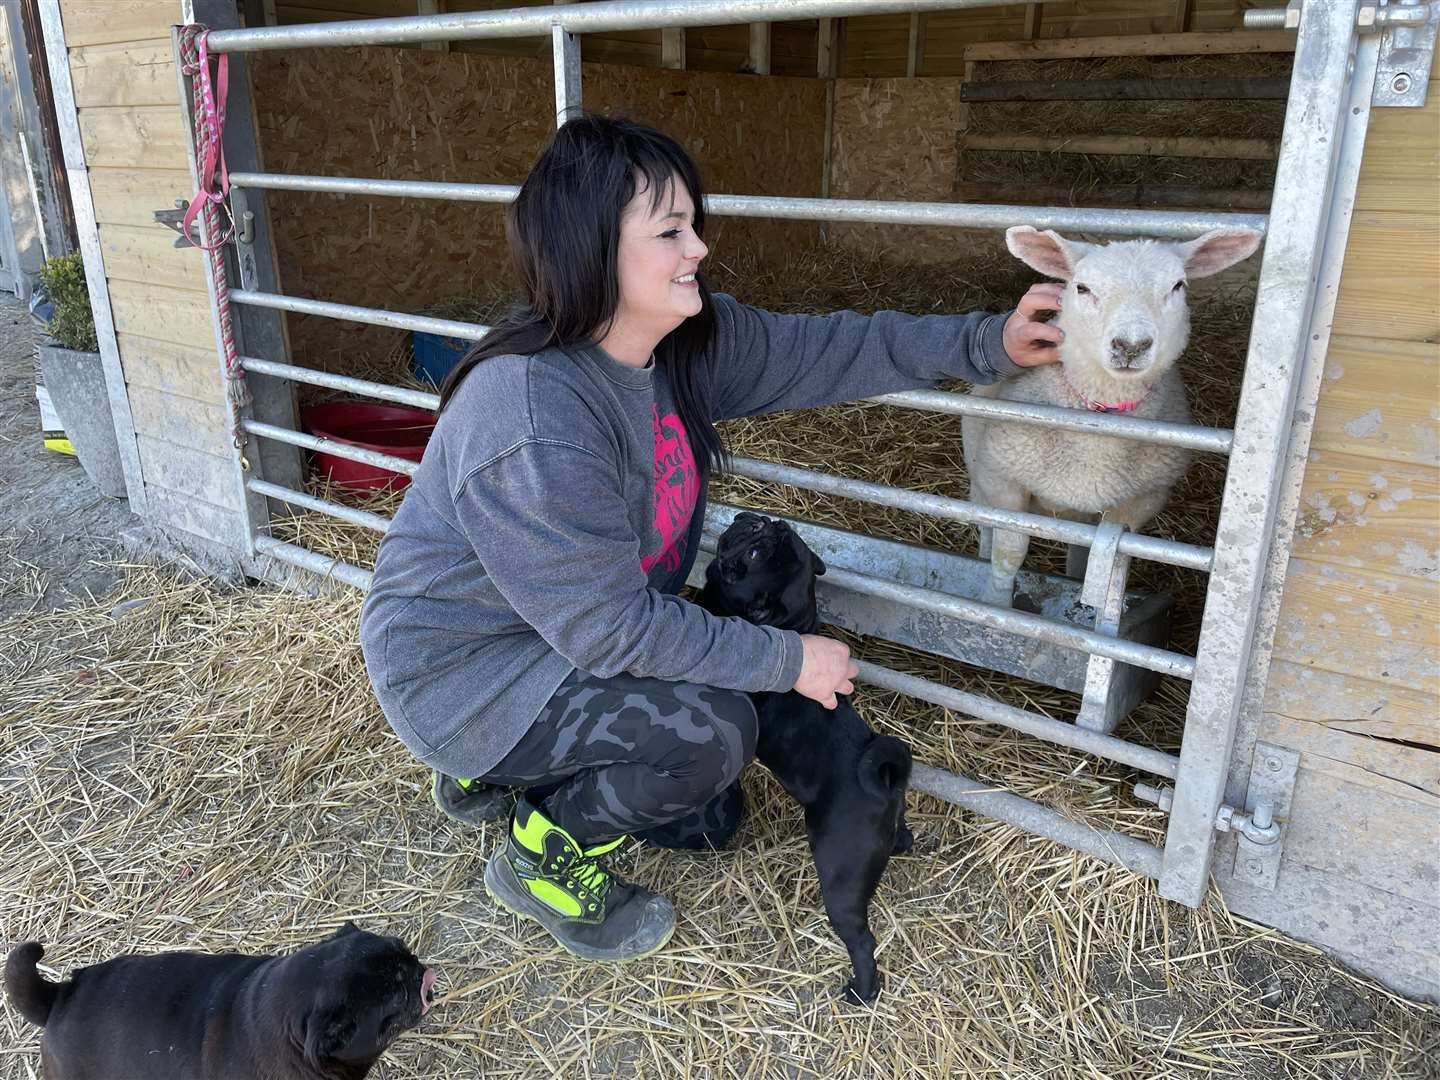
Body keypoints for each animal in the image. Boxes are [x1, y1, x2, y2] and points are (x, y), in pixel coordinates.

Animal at [702, 512, 915, 1002]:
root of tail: (884, 788)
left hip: (840, 879)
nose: (760, 523)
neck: (794, 627)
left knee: (862, 940)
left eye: (754, 554)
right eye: (764, 530)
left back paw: (861, 990)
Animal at [967, 226, 1261, 610]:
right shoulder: (1004, 481)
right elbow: (1008, 554)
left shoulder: (1140, 502)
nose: (1131, 345)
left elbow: (1114, 562)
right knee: (984, 524)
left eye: (1177, 286)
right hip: (979, 476)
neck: (1099, 427)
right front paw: (995, 603)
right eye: (1081, 288)